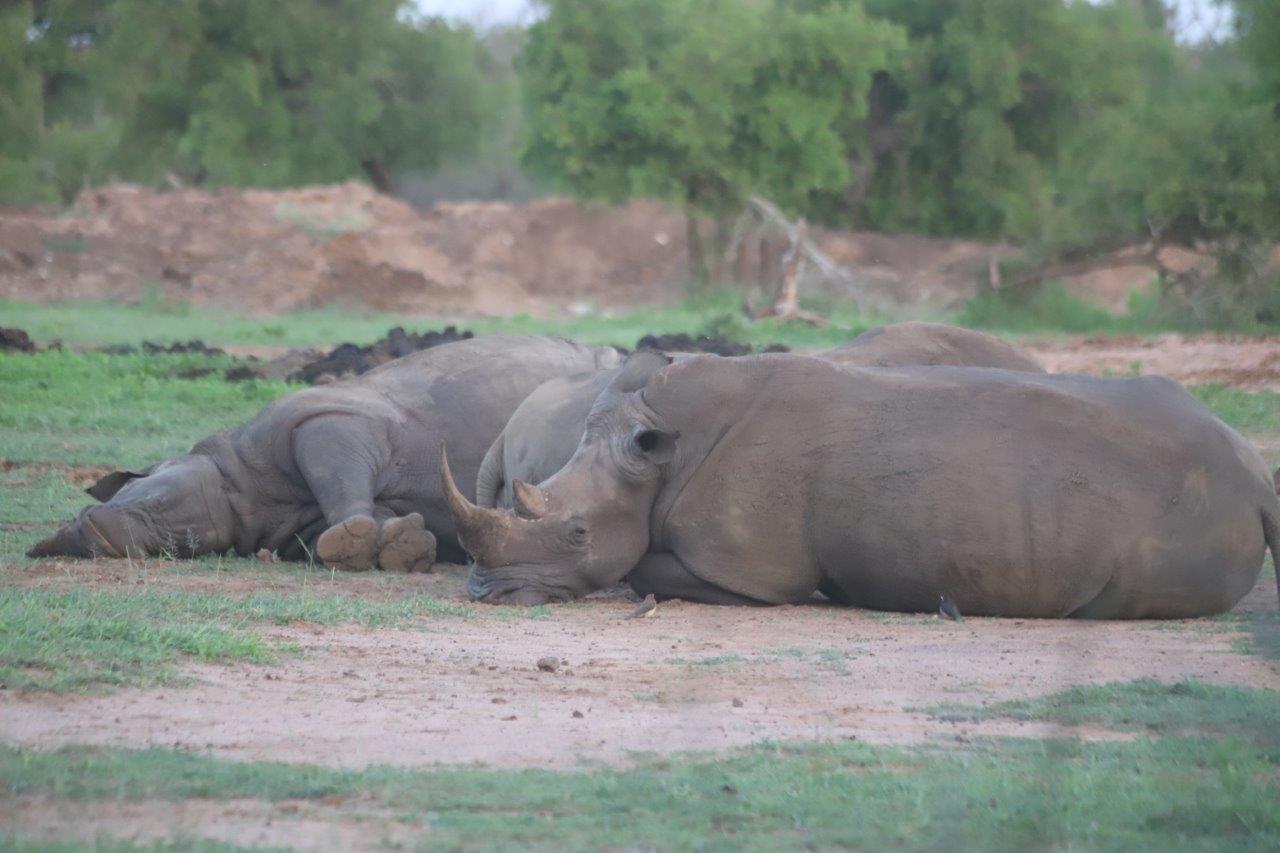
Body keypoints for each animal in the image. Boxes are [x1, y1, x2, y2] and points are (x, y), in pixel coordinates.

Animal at [28, 335, 620, 570]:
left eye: (144, 496)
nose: (80, 534)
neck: (245, 486)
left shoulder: (329, 419)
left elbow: (340, 478)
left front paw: (377, 543)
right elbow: (344, 518)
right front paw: (397, 544)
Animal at [445, 353, 1278, 617]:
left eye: (578, 531)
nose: (483, 592)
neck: (659, 449)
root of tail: (1252, 466)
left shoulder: (749, 569)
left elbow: (646, 565)